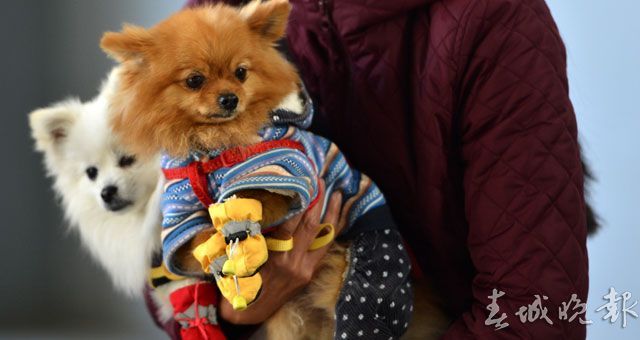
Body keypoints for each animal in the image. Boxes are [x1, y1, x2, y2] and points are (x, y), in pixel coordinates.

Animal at [102, 0, 448, 340]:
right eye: (194, 80)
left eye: (241, 73)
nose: (229, 98)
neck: (212, 148)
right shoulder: (180, 207)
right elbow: (194, 239)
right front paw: (216, 250)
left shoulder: (284, 168)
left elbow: (258, 197)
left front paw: (239, 227)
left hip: (375, 267)